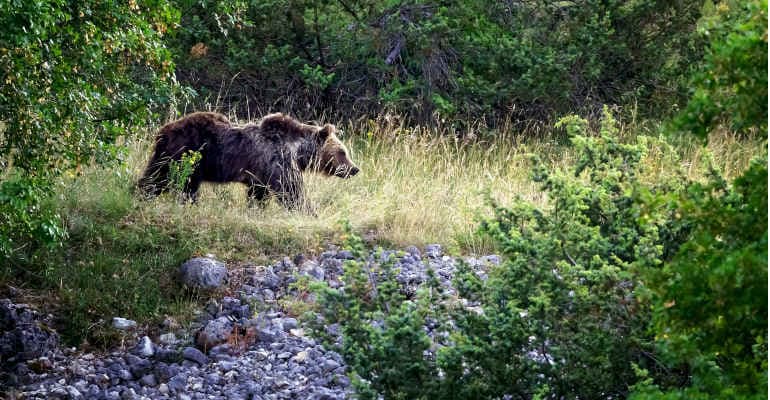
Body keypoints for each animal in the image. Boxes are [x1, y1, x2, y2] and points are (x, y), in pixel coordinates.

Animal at [138, 111, 359, 210]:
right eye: (342, 152)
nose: (355, 169)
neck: (298, 151)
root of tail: (162, 132)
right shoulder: (278, 162)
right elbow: (291, 191)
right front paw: (307, 211)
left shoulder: (261, 175)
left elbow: (258, 194)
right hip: (186, 156)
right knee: (179, 183)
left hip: (169, 157)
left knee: (154, 177)